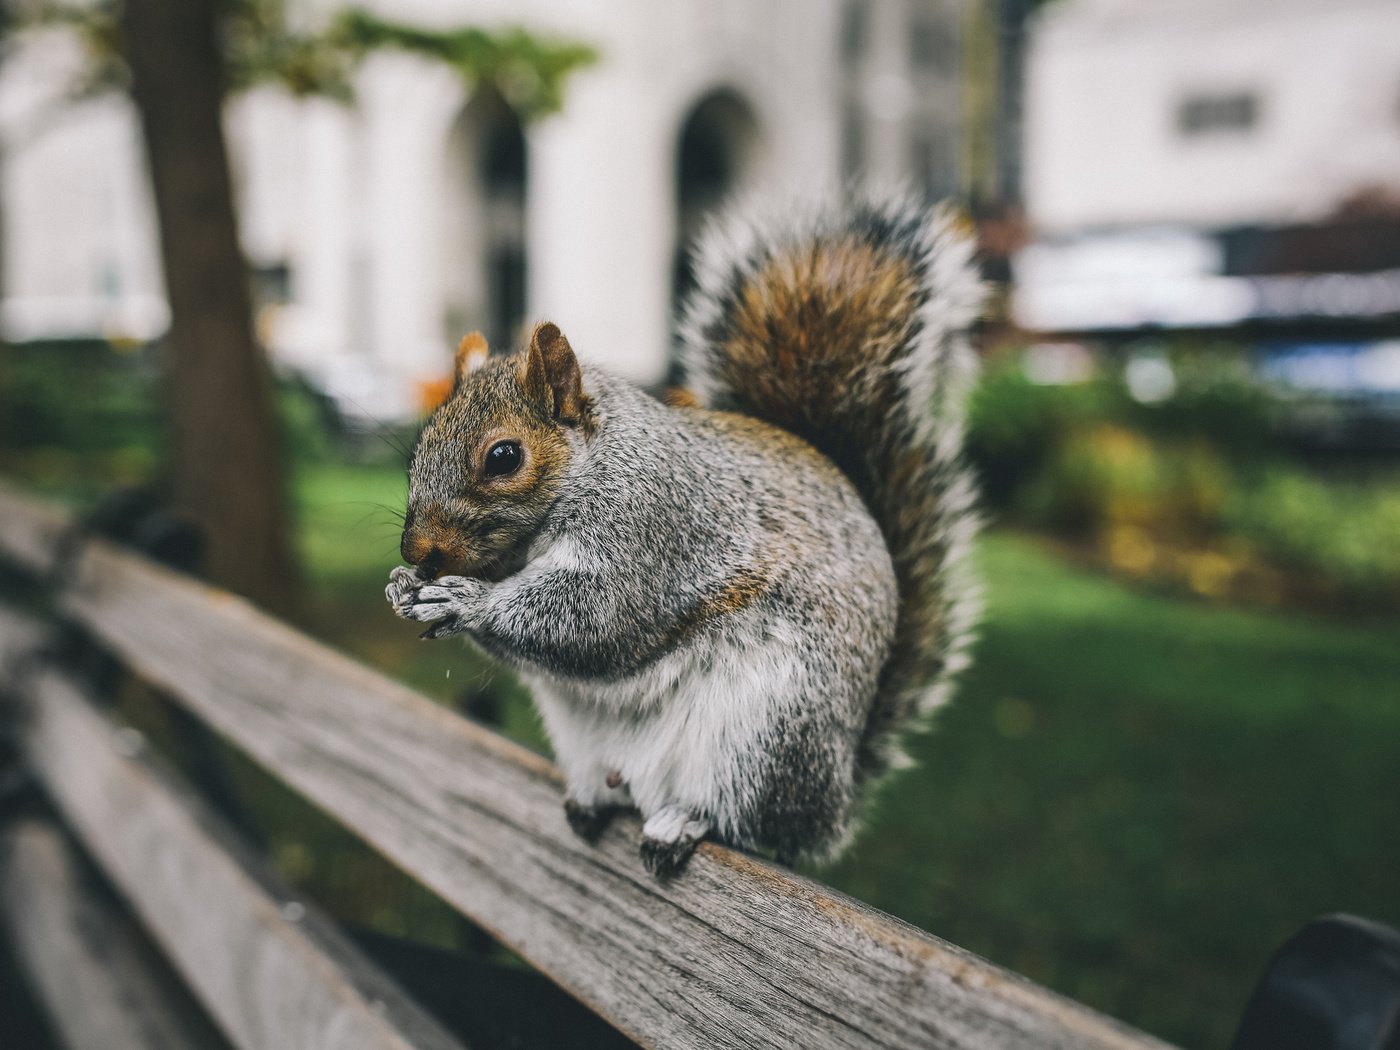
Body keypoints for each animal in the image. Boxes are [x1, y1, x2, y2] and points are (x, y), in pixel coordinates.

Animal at [386, 196, 985, 879]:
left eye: (505, 457)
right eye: (420, 445)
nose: (417, 552)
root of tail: (835, 799)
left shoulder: (656, 526)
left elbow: (599, 618)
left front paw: (467, 600)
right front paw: (404, 588)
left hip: (765, 734)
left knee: (745, 819)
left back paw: (682, 822)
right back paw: (592, 800)